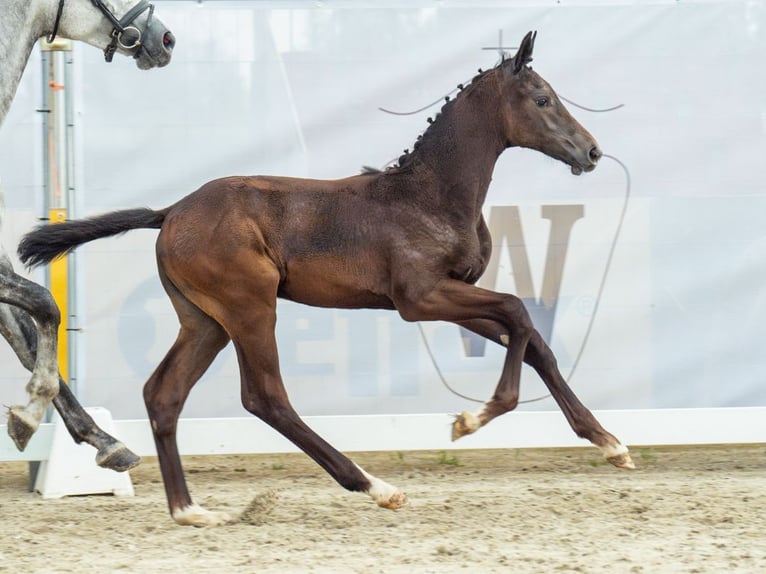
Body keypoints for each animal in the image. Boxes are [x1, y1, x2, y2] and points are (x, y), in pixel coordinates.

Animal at [19, 30, 636, 528]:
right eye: (543, 98)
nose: (592, 151)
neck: (430, 195)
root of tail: (169, 212)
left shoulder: (450, 293)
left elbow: (533, 342)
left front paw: (610, 444)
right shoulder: (420, 298)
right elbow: (516, 310)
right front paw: (470, 419)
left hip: (204, 321)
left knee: (164, 393)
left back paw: (190, 511)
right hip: (250, 308)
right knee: (265, 397)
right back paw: (377, 487)